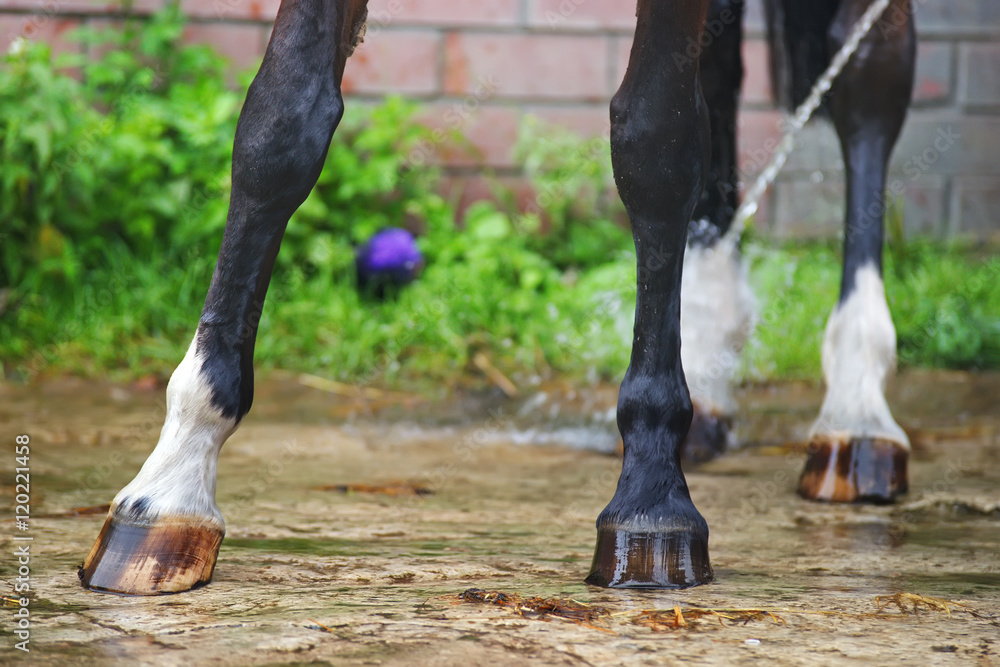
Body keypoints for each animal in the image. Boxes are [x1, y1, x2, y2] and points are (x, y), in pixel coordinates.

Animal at [79, 0, 915, 594]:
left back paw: (857, 406)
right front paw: (172, 479)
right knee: (722, 69)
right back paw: (711, 374)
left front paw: (650, 491)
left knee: (871, 73)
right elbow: (281, 121)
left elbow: (655, 137)